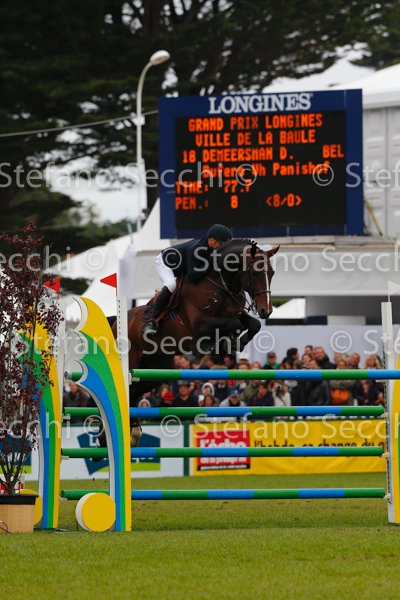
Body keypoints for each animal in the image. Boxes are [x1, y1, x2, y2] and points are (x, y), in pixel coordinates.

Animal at [116, 239, 279, 446]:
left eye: (272, 273)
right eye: (255, 273)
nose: (267, 310)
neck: (222, 284)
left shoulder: (236, 312)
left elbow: (253, 324)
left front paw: (236, 342)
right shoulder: (201, 325)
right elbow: (233, 324)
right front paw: (227, 341)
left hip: (154, 371)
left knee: (135, 391)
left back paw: (134, 431)